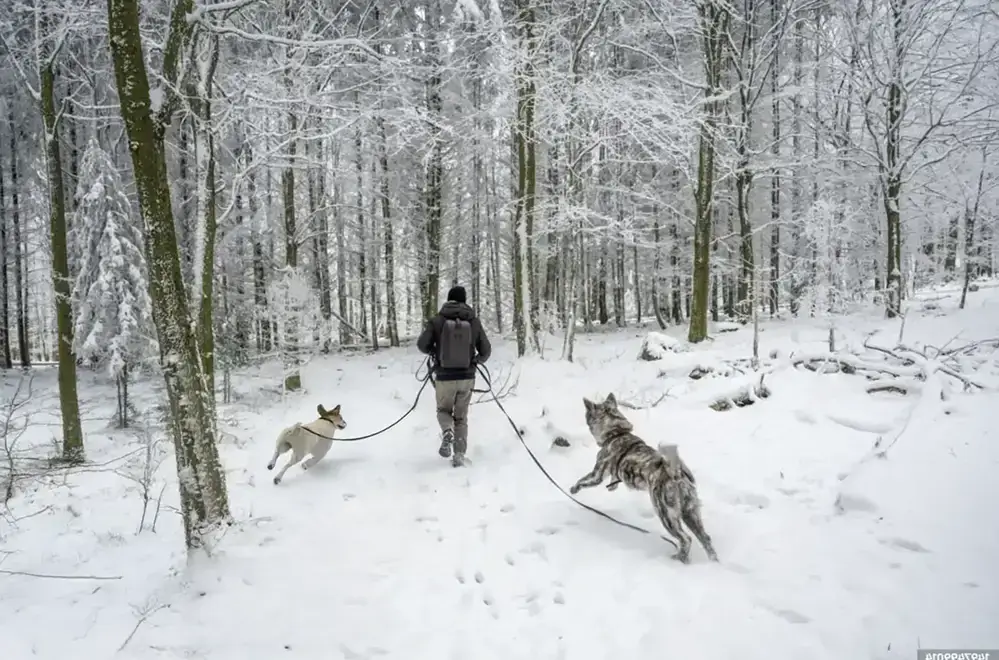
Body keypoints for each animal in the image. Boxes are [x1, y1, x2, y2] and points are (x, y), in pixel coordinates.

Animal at [572, 392, 720, 564]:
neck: (616, 433)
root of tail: (676, 473)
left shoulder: (597, 474)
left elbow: (582, 481)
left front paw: (573, 489)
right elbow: (612, 482)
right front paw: (611, 487)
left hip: (666, 513)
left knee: (686, 539)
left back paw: (678, 558)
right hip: (690, 512)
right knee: (705, 538)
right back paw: (713, 561)